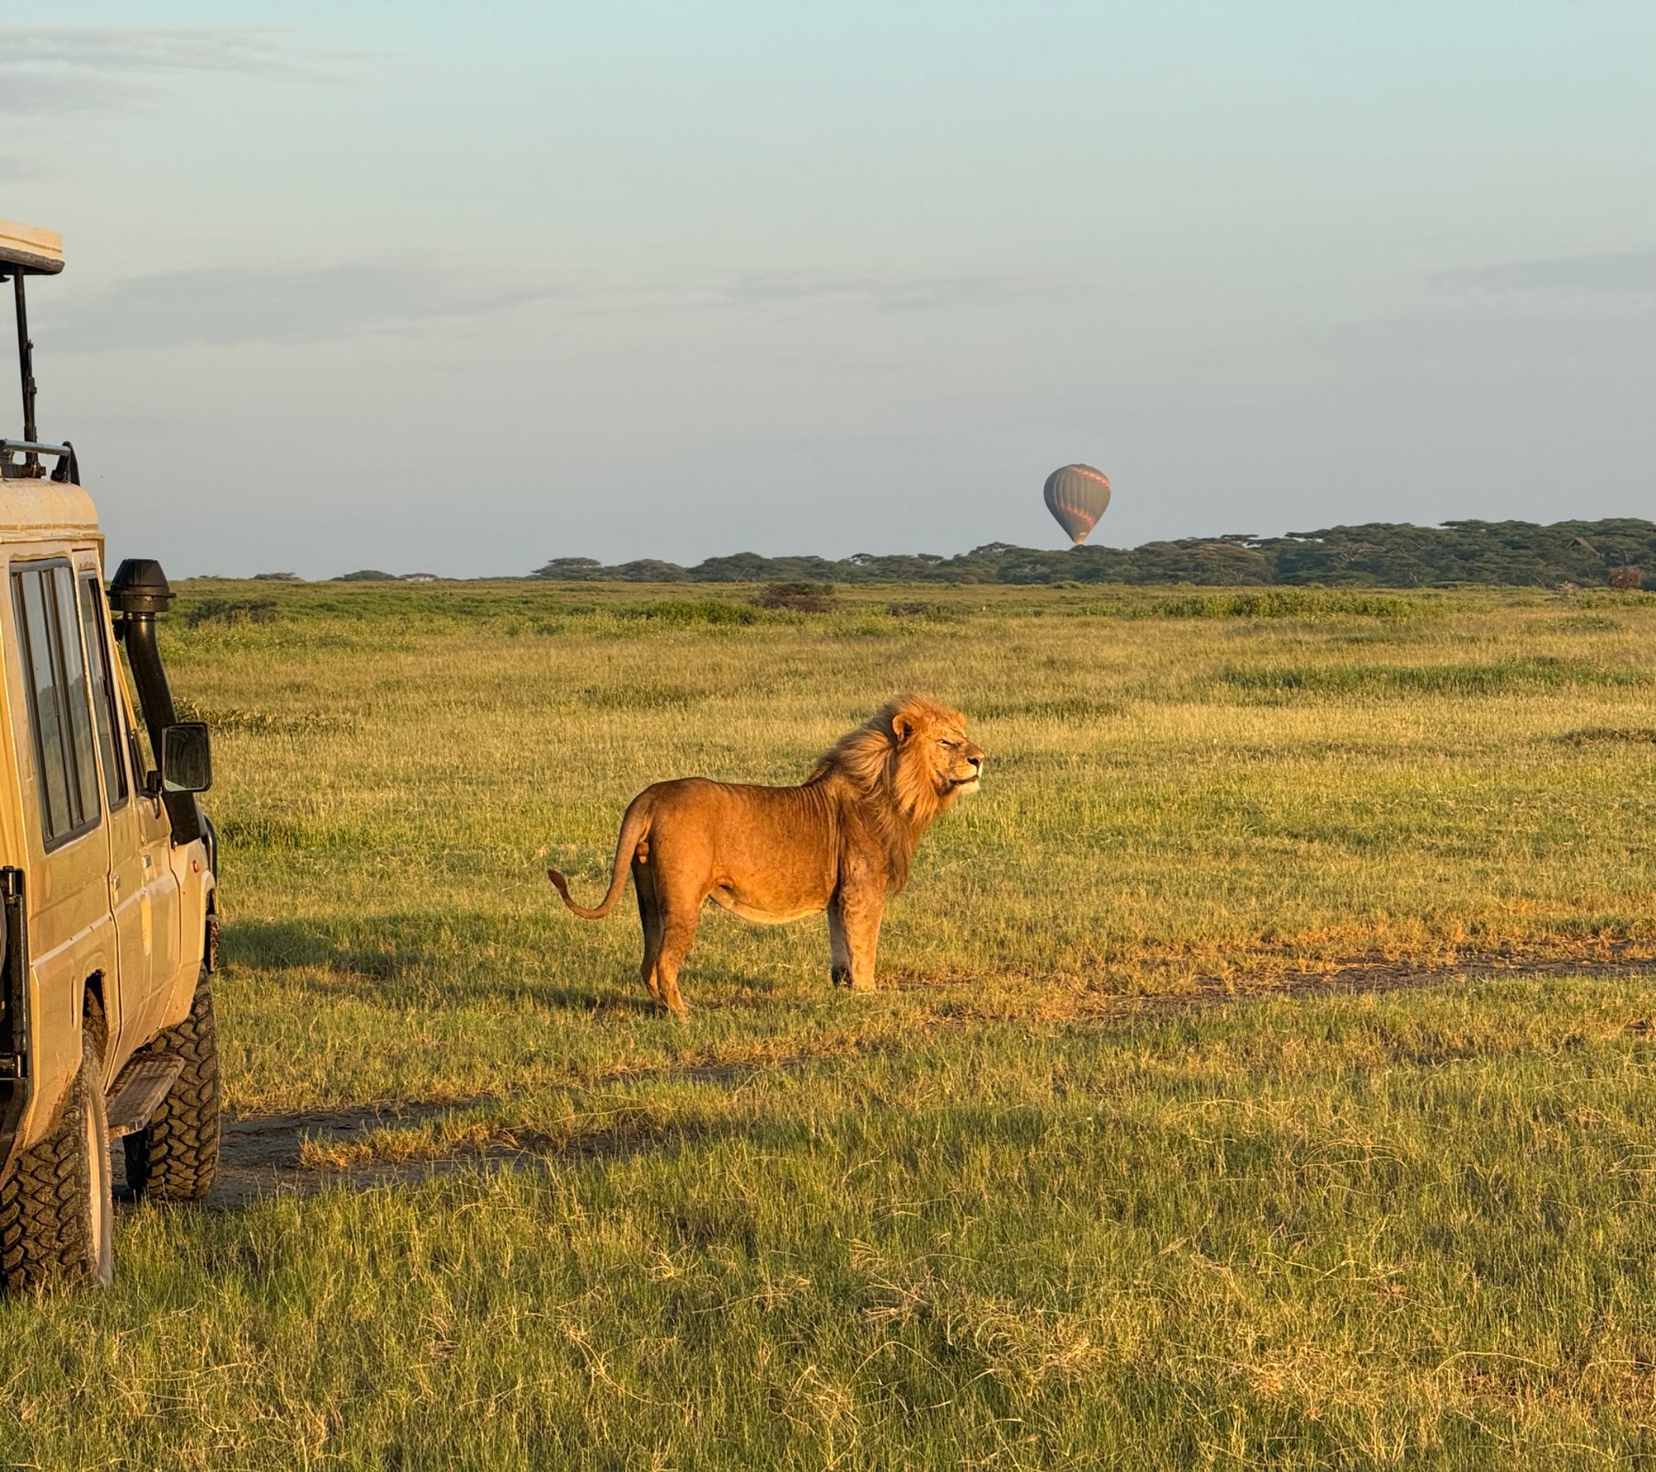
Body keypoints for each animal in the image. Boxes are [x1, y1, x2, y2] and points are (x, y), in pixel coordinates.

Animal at [547, 695, 984, 1018]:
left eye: (962, 737)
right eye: (946, 742)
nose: (981, 759)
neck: (894, 791)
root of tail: (651, 795)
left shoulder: (838, 897)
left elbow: (841, 946)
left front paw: (843, 990)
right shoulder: (862, 891)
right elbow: (864, 946)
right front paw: (867, 997)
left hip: (648, 896)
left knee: (647, 962)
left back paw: (663, 1009)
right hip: (683, 899)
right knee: (665, 962)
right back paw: (685, 1015)